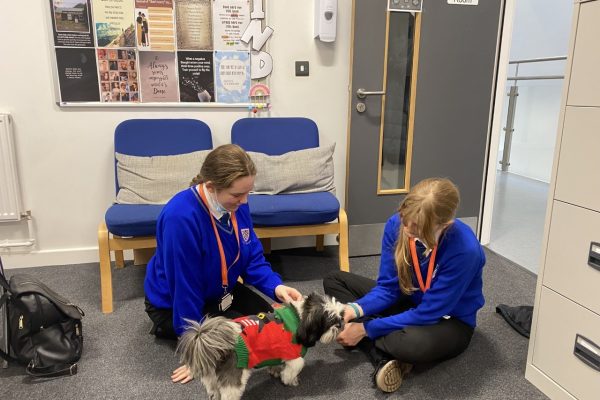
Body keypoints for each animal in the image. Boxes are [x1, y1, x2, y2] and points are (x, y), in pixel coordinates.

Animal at [178, 292, 344, 398]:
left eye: (340, 316)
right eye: (331, 321)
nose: (340, 324)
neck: (299, 318)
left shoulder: (274, 352)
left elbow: (276, 364)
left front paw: (275, 371)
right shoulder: (294, 357)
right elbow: (292, 371)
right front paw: (290, 381)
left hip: (211, 376)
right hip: (233, 379)